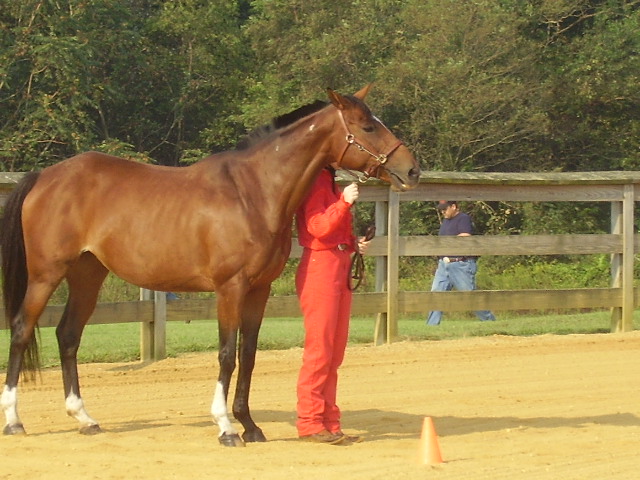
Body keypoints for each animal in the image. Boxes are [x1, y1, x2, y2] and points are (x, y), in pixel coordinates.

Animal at [1, 84, 420, 444]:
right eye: (368, 125)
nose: (412, 170)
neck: (253, 192)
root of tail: (44, 177)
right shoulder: (230, 288)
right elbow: (226, 353)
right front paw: (226, 427)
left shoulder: (259, 289)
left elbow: (248, 355)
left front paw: (250, 425)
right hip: (46, 274)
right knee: (22, 330)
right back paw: (15, 421)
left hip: (88, 273)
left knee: (68, 335)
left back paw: (84, 418)